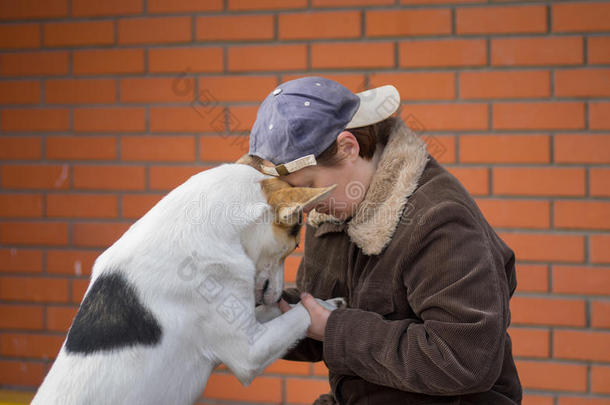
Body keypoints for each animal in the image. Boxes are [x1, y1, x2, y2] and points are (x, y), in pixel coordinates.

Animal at [32, 163, 342, 404]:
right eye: (295, 243)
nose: (277, 294)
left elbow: (279, 311)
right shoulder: (250, 350)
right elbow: (299, 314)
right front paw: (327, 306)